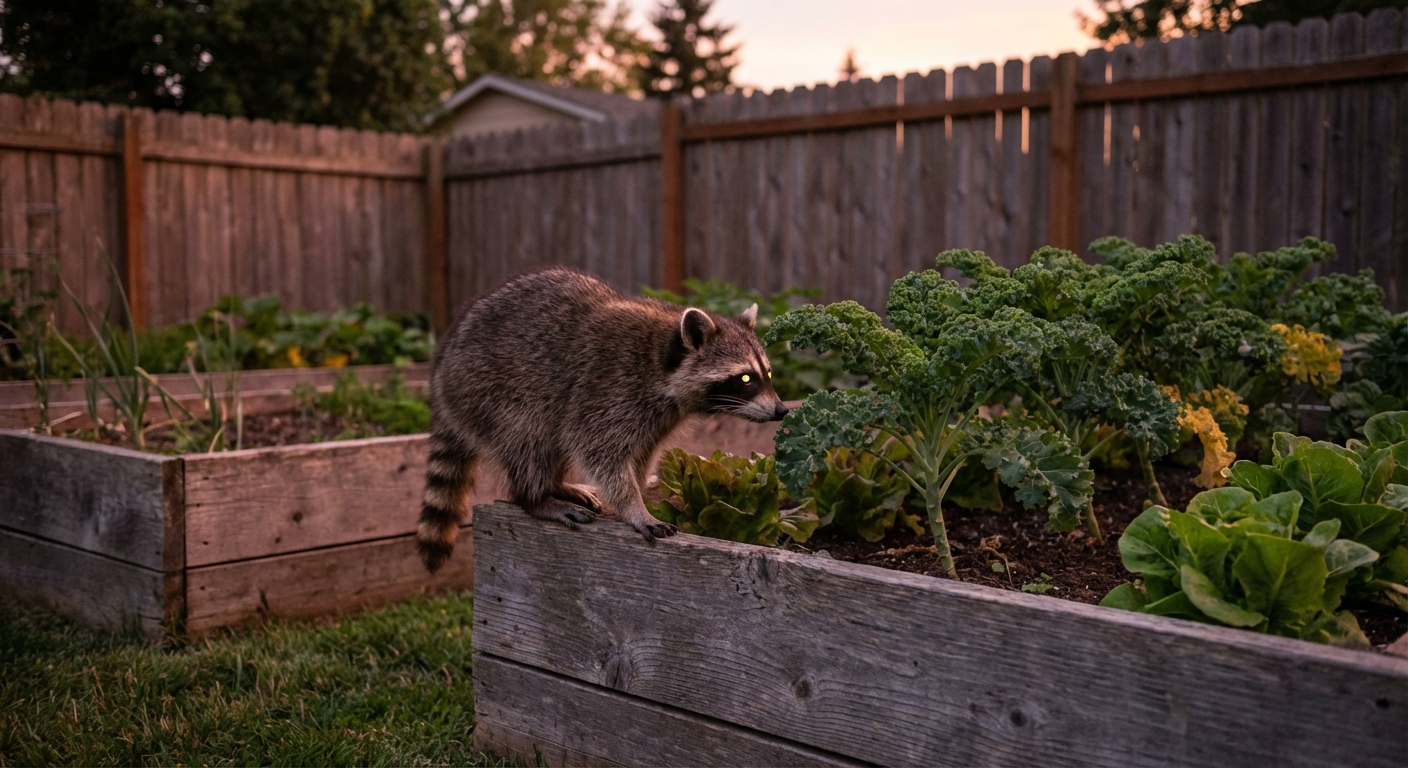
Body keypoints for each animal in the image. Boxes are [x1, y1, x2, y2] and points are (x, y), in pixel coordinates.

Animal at [416, 267, 788, 572]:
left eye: (768, 374)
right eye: (745, 379)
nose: (782, 410)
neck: (661, 360)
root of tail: (439, 374)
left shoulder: (656, 417)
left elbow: (639, 456)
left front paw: (638, 494)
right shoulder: (608, 388)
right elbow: (600, 453)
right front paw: (633, 506)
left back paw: (555, 484)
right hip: (488, 389)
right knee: (527, 436)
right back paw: (536, 498)